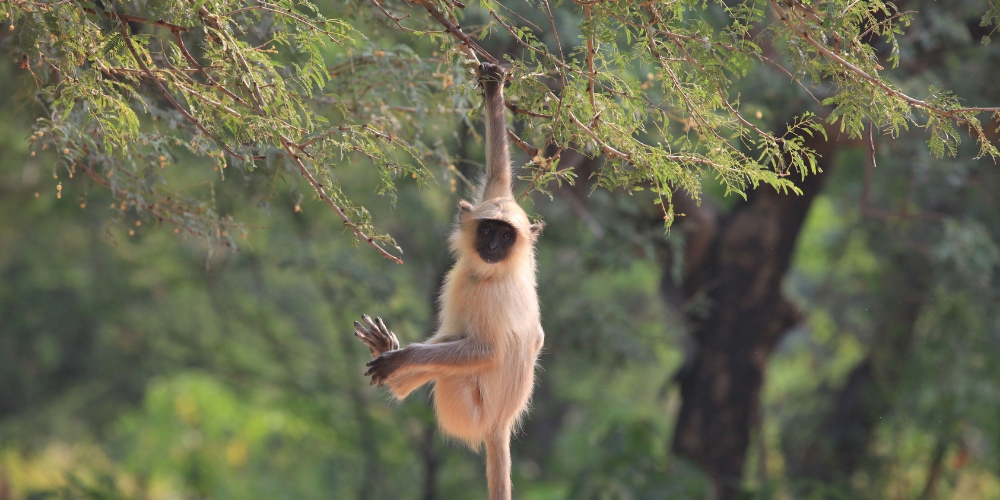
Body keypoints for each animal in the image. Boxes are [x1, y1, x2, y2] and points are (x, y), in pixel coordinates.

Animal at [350, 62, 540, 500]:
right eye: (487, 230)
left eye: (505, 236)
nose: (492, 245)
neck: (488, 273)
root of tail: (500, 427)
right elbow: (499, 176)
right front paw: (493, 91)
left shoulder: (493, 296)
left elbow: (487, 351)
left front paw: (401, 358)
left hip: (465, 406)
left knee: (453, 358)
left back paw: (396, 367)